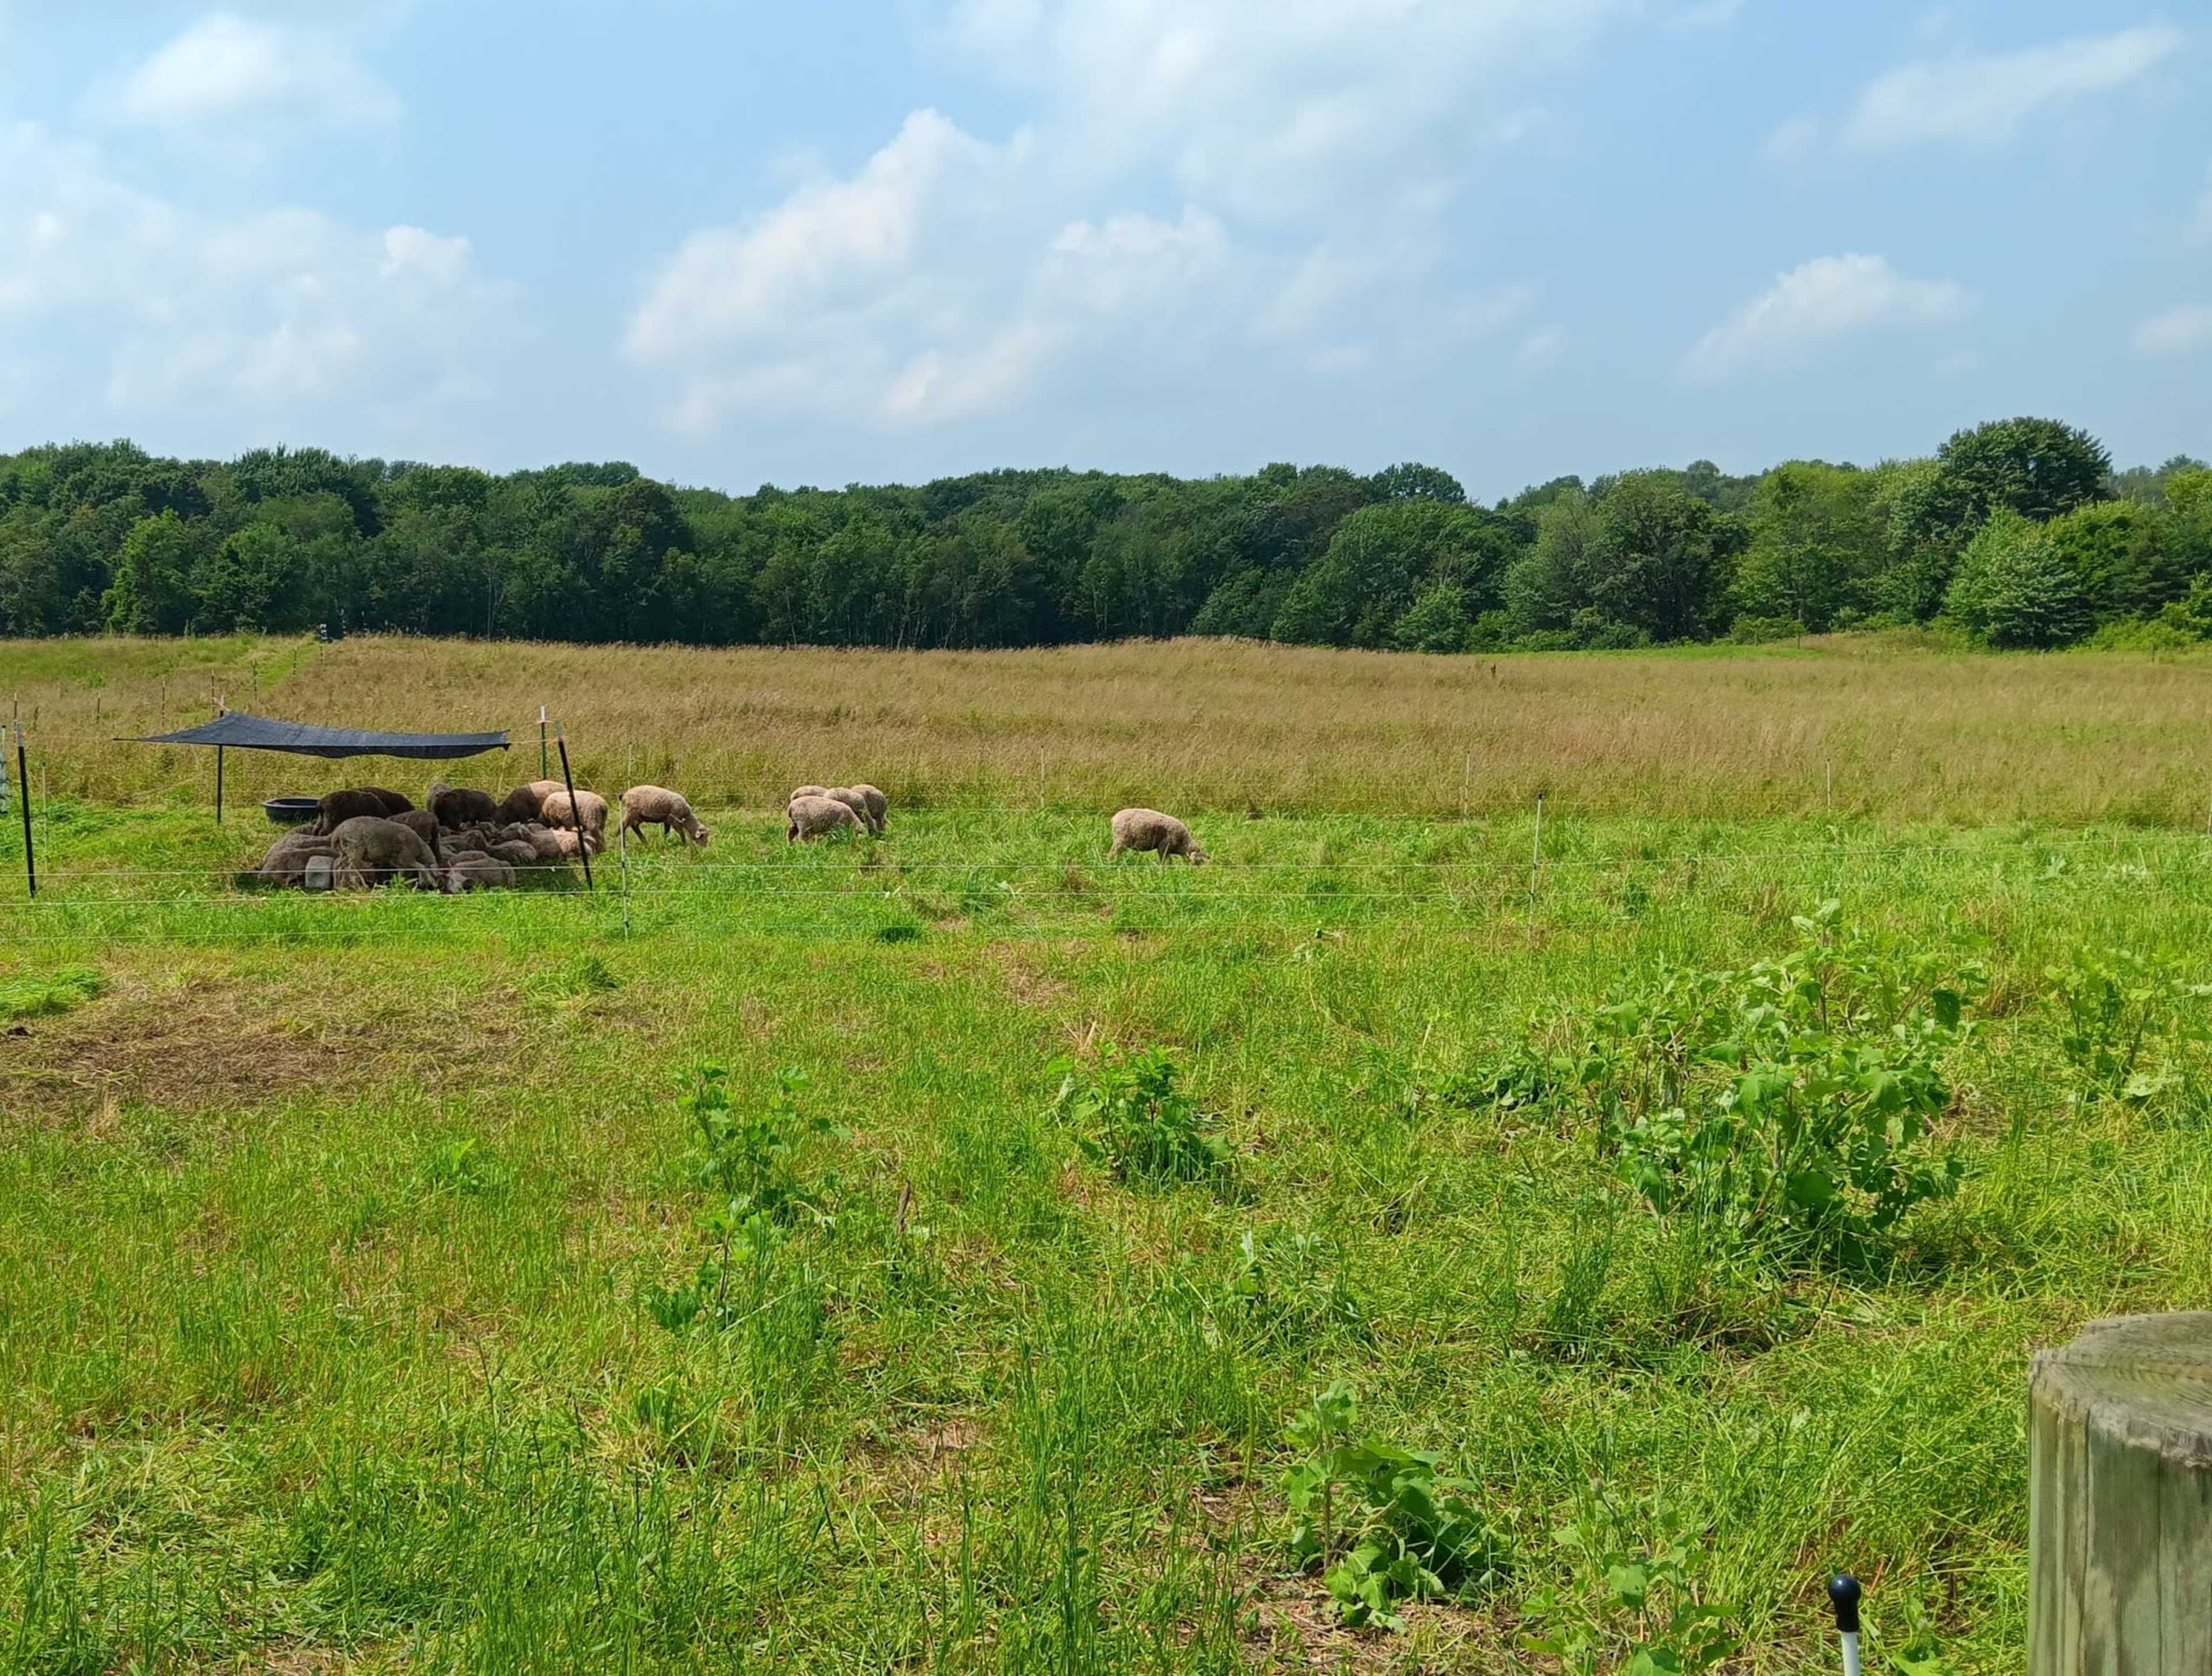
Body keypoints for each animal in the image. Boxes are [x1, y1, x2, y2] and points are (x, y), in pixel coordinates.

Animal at [329, 815, 443, 890]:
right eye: (436, 876)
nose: (437, 887)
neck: (419, 849)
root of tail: (337, 833)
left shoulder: (399, 862)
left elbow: (402, 872)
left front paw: (399, 885)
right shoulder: (407, 857)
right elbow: (421, 867)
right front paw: (424, 881)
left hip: (344, 851)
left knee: (338, 865)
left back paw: (339, 887)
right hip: (355, 850)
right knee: (351, 868)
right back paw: (362, 886)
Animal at [620, 785, 710, 846]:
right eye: (702, 836)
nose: (704, 848)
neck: (686, 816)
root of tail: (625, 795)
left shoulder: (667, 820)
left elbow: (667, 833)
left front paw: (664, 843)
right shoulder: (675, 821)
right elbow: (681, 833)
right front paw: (684, 845)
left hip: (640, 816)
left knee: (634, 826)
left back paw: (645, 842)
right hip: (632, 812)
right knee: (623, 826)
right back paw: (623, 845)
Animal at [788, 794, 864, 841]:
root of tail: (791, 806)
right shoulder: (838, 826)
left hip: (794, 821)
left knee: (790, 834)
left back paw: (790, 845)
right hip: (803, 822)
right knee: (801, 836)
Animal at [1109, 807, 1206, 864]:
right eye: (1198, 862)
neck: (1183, 843)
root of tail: (1114, 818)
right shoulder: (1164, 847)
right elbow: (1166, 860)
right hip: (1121, 839)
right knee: (1113, 852)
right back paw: (1113, 862)